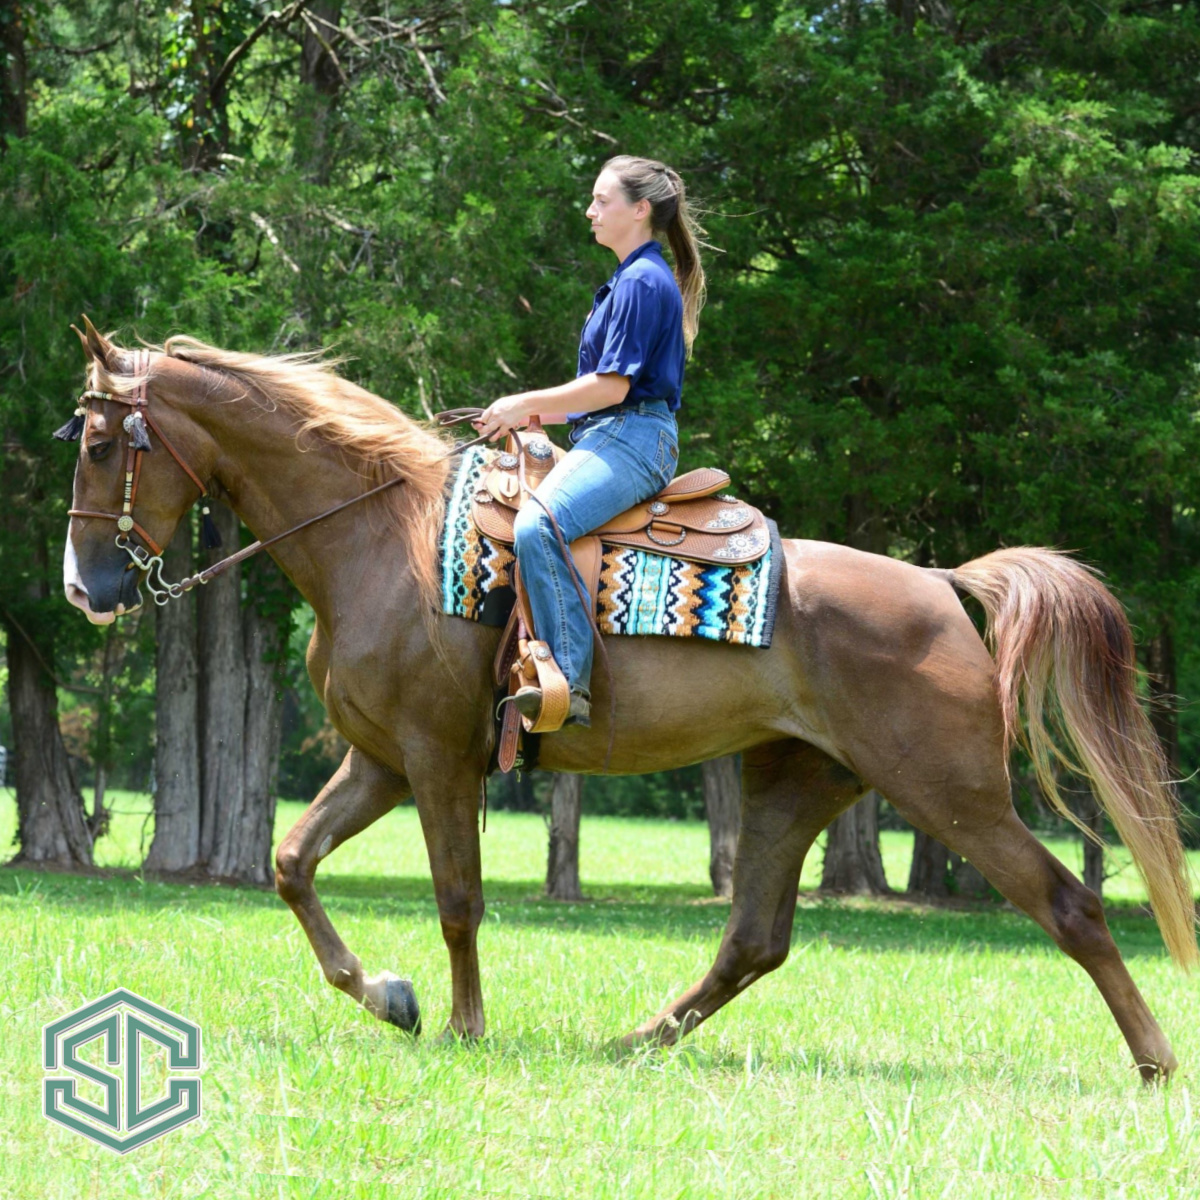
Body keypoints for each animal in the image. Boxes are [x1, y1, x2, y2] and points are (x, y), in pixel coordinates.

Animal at [60, 324, 1195, 1084]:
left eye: (105, 444)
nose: (83, 588)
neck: (378, 538)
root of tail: (941, 584)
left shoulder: (435, 760)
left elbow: (458, 899)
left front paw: (464, 1027)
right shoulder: (377, 760)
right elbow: (292, 864)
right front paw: (389, 997)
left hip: (952, 791)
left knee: (1072, 904)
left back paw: (1153, 1063)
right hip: (796, 783)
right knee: (754, 941)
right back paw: (635, 1040)